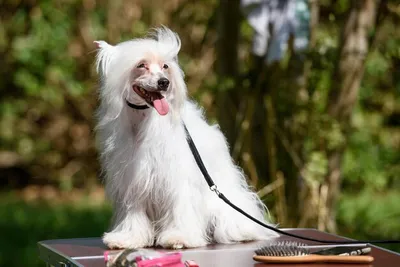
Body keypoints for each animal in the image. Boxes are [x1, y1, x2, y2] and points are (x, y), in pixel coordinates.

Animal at [94, 26, 278, 250]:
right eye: (141, 65)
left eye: (165, 66)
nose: (164, 82)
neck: (143, 120)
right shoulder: (133, 181)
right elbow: (134, 213)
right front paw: (128, 238)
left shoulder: (177, 179)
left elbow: (180, 207)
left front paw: (179, 237)